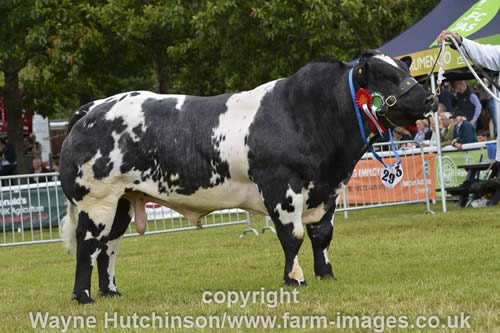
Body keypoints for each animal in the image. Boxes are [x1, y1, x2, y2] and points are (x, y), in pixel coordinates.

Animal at [59, 50, 434, 304]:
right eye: (385, 76)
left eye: (405, 69)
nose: (430, 97)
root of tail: (94, 107)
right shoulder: (281, 187)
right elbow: (292, 235)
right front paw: (294, 279)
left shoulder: (328, 191)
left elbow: (322, 235)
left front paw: (326, 274)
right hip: (98, 199)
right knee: (88, 243)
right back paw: (83, 296)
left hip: (122, 199)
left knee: (109, 245)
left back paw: (111, 291)